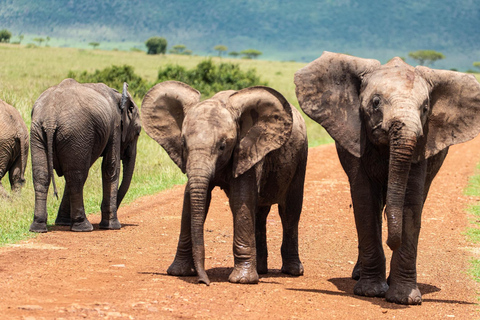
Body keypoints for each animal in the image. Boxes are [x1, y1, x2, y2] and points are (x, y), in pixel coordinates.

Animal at [28, 77, 141, 232]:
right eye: (138, 132)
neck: (119, 96)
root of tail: (50, 118)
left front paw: (63, 222)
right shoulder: (115, 127)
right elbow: (111, 167)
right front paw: (112, 226)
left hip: (39, 132)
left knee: (43, 176)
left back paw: (38, 227)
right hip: (75, 132)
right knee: (76, 177)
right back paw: (84, 226)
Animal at [142, 80, 308, 284]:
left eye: (222, 146)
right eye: (183, 144)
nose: (204, 281)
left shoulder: (247, 149)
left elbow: (240, 200)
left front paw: (242, 281)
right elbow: (191, 200)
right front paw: (179, 272)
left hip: (301, 156)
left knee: (289, 211)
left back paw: (292, 271)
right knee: (260, 212)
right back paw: (261, 270)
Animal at [294, 51, 480, 304]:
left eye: (425, 108)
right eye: (375, 102)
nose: (392, 241)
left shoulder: (421, 146)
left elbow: (410, 204)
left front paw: (403, 299)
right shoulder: (358, 137)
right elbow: (365, 200)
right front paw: (371, 291)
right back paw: (361, 275)